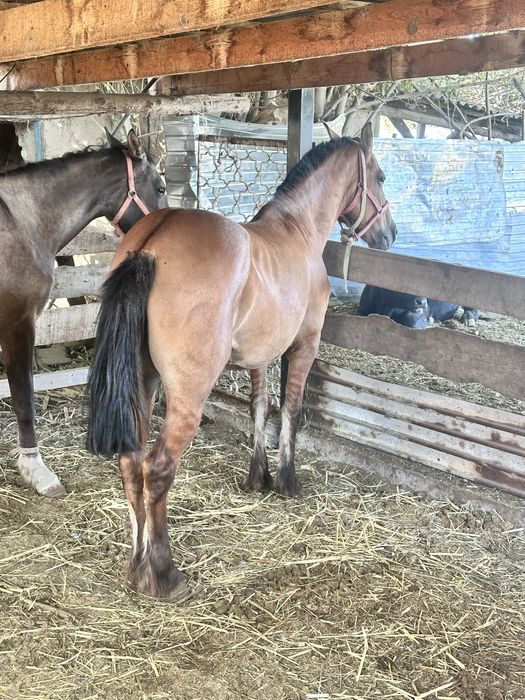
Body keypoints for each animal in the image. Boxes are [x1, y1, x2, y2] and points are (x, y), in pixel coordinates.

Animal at [87, 122, 397, 600]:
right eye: (380, 176)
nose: (390, 234)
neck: (298, 229)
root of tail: (150, 247)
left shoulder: (260, 355)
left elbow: (259, 408)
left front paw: (258, 478)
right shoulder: (303, 346)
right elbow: (290, 411)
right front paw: (286, 481)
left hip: (142, 384)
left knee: (131, 464)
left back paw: (137, 568)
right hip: (186, 396)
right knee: (157, 470)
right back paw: (165, 574)